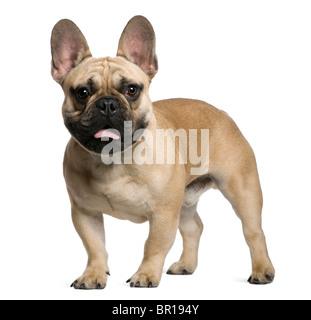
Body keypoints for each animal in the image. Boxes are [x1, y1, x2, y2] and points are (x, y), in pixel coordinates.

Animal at [50, 16, 276, 288]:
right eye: (82, 92)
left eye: (131, 90)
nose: (107, 104)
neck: (114, 158)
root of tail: (223, 113)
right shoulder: (85, 213)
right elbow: (95, 247)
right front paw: (93, 275)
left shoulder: (163, 213)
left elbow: (154, 245)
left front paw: (145, 275)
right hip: (185, 197)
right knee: (193, 227)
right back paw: (186, 265)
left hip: (242, 190)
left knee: (253, 231)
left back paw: (262, 270)